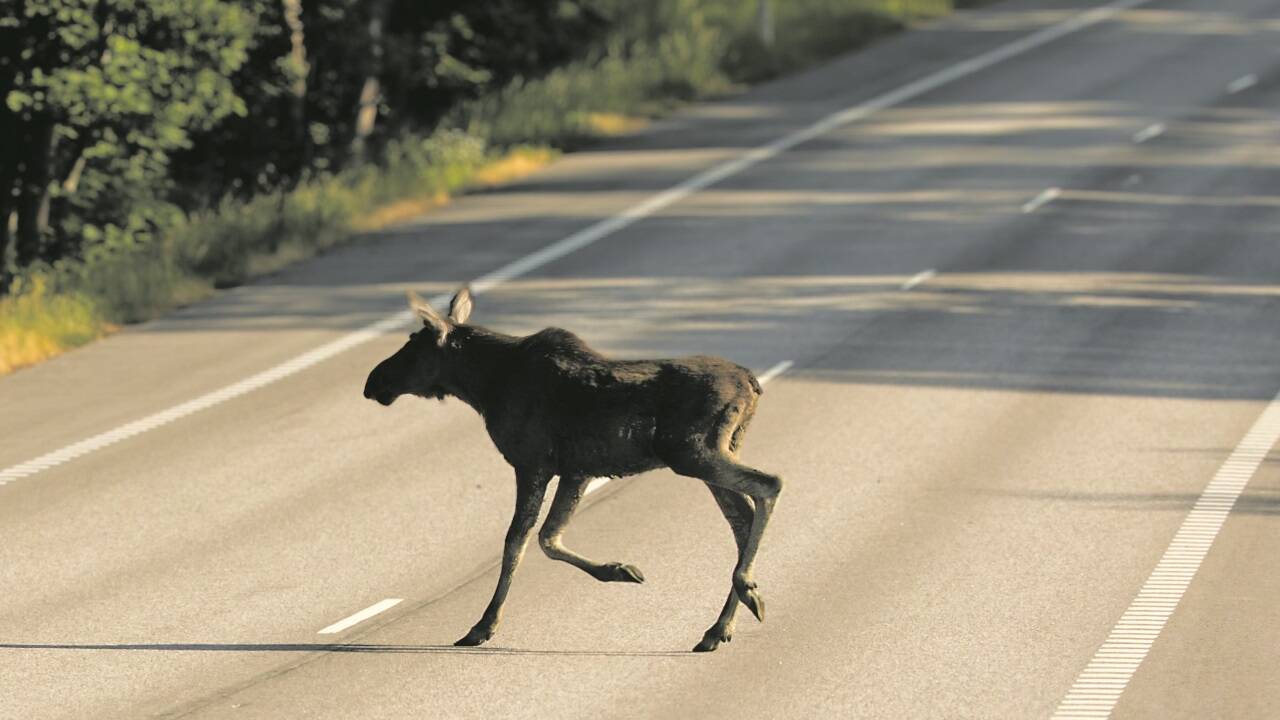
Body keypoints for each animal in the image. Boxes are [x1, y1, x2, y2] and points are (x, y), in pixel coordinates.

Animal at [360, 286, 778, 650]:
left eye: (412, 345)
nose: (373, 381)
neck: (483, 387)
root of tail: (753, 384)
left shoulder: (531, 463)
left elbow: (518, 541)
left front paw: (484, 625)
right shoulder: (578, 469)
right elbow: (549, 537)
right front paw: (618, 569)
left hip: (691, 452)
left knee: (769, 485)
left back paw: (745, 591)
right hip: (712, 453)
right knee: (742, 519)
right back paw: (721, 625)